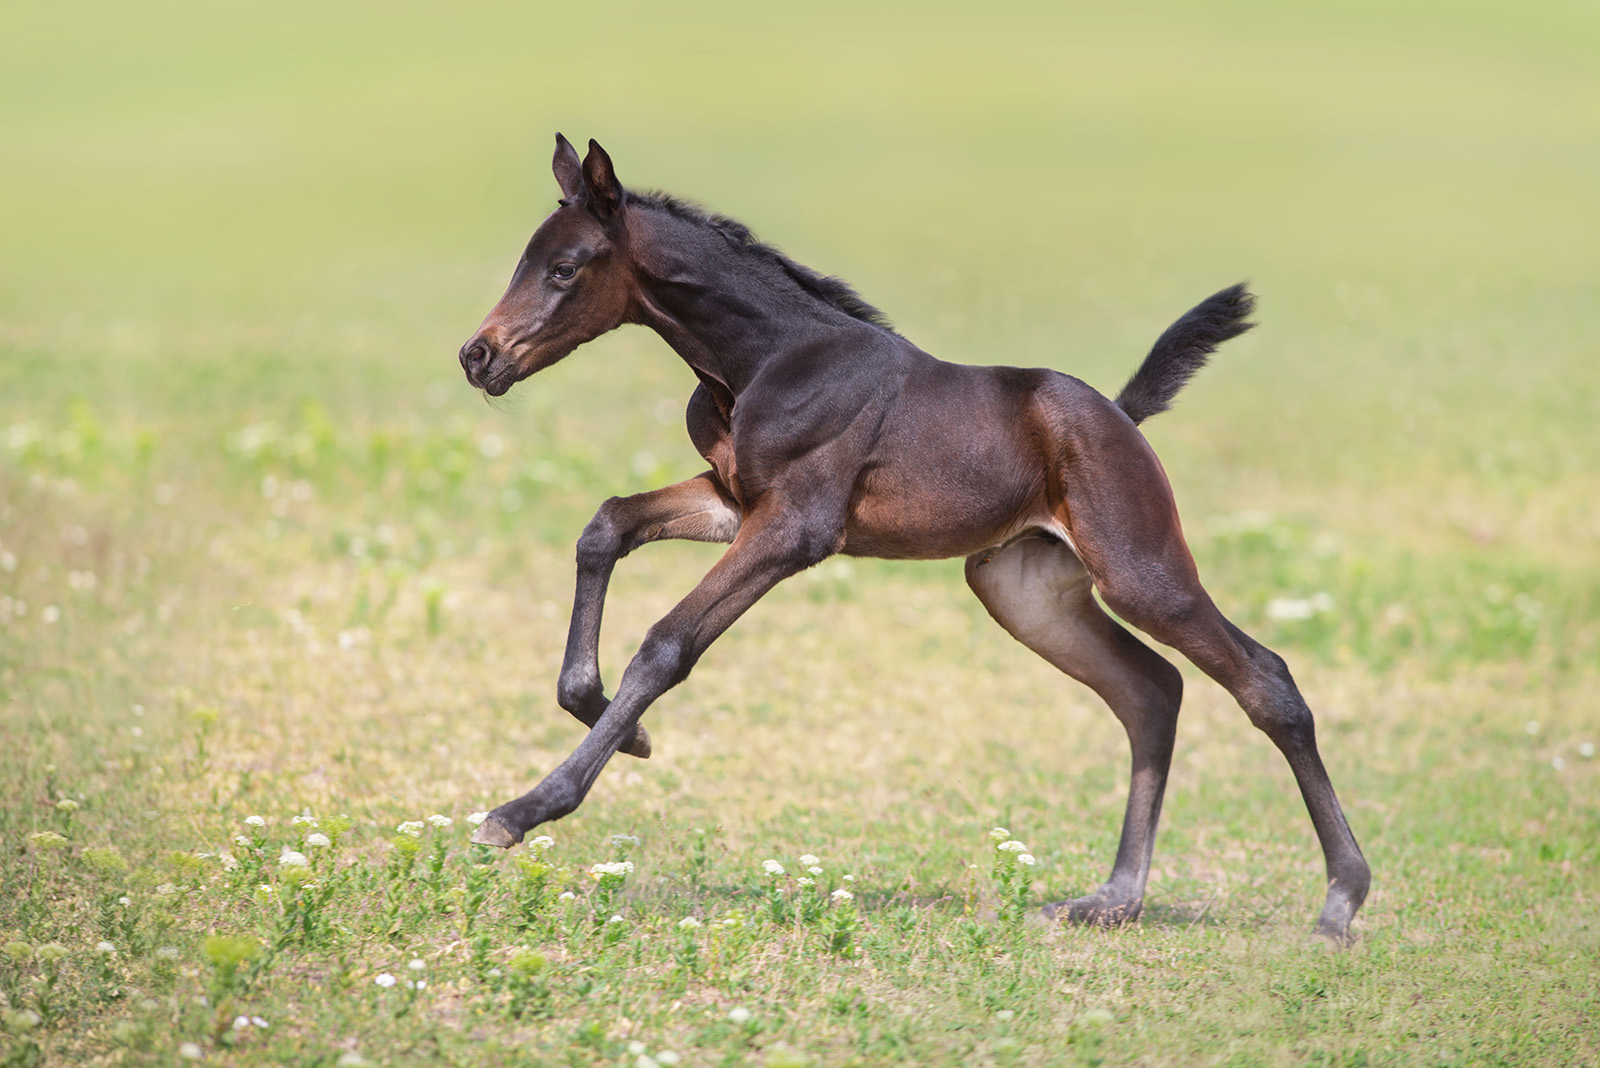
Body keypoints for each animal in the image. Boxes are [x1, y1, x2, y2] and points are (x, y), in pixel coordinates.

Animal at [457, 135, 1369, 940]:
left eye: (565, 269)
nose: (477, 356)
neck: (763, 360)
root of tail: (1119, 416)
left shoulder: (795, 528)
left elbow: (668, 644)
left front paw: (523, 810)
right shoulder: (733, 502)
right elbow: (605, 526)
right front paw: (612, 719)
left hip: (1140, 566)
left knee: (1266, 680)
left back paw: (1340, 902)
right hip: (1022, 590)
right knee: (1150, 692)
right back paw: (1111, 900)